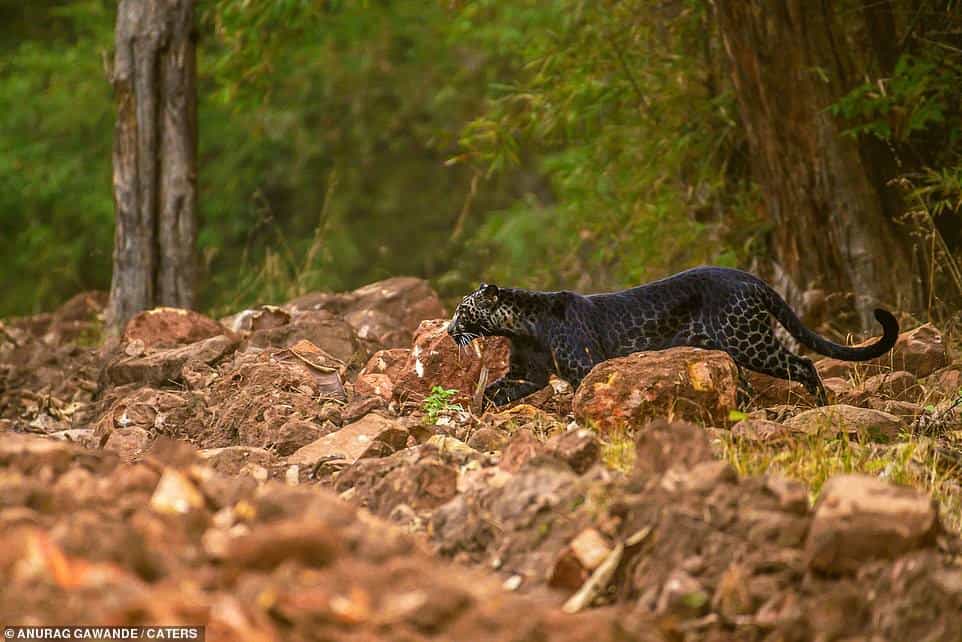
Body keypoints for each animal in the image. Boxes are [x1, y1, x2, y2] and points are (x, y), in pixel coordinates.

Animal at [446, 264, 896, 404]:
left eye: (461, 311)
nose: (449, 329)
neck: (524, 327)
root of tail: (751, 278)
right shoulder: (529, 372)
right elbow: (499, 389)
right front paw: (480, 407)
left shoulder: (584, 366)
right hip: (734, 348)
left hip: (749, 341)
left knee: (803, 363)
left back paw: (820, 405)